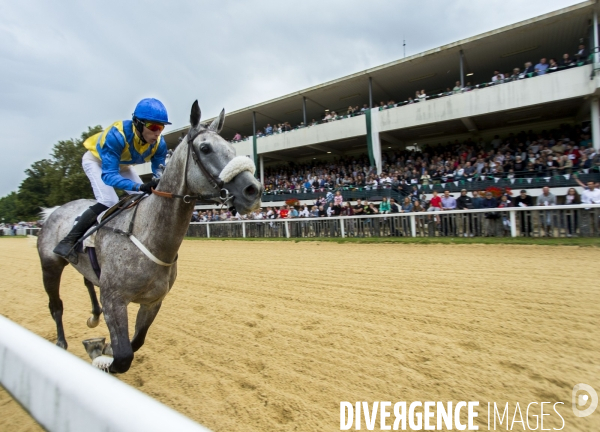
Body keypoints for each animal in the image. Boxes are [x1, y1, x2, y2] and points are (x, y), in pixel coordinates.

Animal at [36, 102, 262, 374]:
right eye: (205, 148)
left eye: (233, 147)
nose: (253, 190)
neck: (150, 236)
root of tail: (54, 210)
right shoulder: (114, 300)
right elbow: (123, 357)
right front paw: (100, 355)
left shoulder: (153, 302)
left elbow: (136, 342)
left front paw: (103, 348)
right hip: (50, 265)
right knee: (56, 305)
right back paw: (61, 342)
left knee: (88, 282)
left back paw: (93, 316)